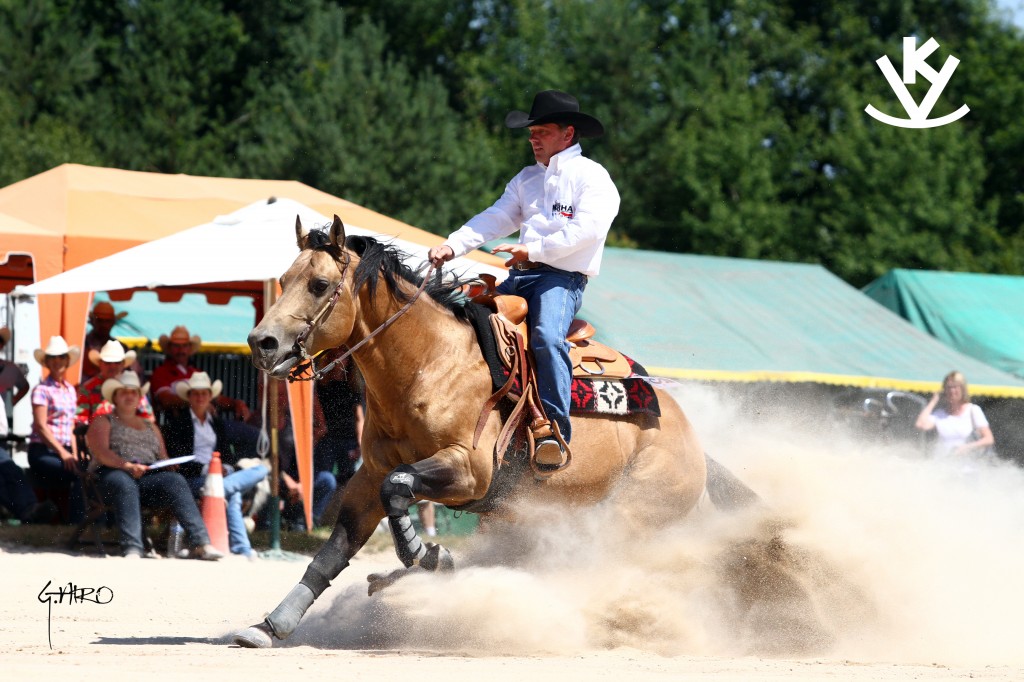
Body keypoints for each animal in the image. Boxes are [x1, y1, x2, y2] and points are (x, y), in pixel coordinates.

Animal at [234, 218, 729, 647]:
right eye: (283, 280)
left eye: (319, 285)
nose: (262, 343)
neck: (427, 364)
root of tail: (688, 435)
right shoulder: (368, 475)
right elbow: (335, 549)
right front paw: (270, 625)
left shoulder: (470, 472)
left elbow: (400, 487)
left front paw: (426, 554)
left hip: (629, 513)